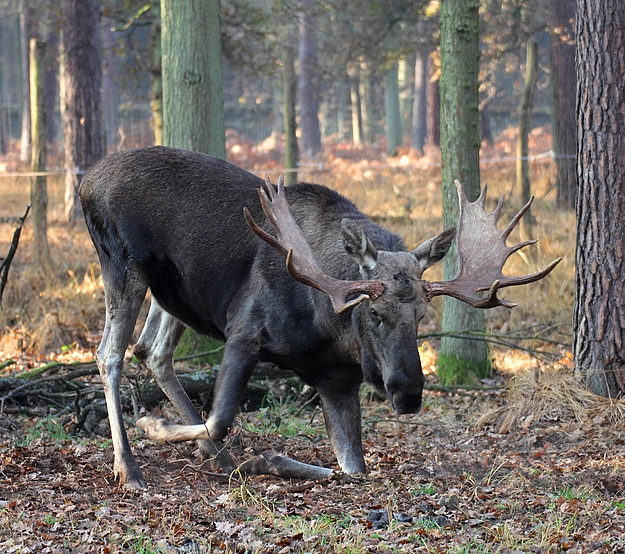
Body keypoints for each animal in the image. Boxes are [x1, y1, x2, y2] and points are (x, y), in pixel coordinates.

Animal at [80, 144, 560, 486]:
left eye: (423, 314)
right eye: (374, 312)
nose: (408, 394)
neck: (329, 329)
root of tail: (85, 182)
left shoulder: (337, 379)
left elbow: (354, 469)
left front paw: (263, 460)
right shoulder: (244, 330)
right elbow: (218, 421)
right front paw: (152, 424)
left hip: (171, 292)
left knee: (152, 350)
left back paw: (224, 460)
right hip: (122, 264)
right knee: (109, 354)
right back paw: (130, 467)